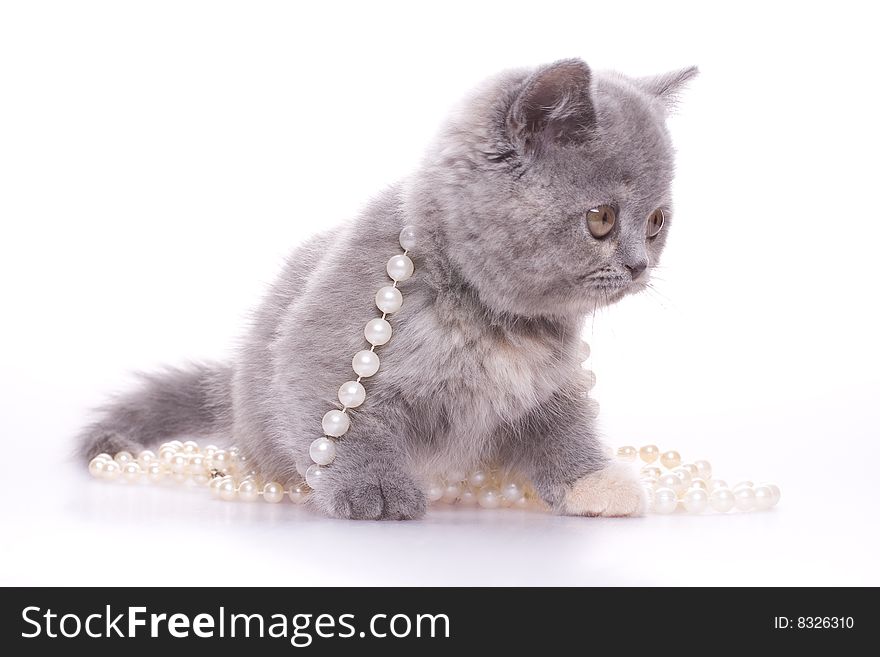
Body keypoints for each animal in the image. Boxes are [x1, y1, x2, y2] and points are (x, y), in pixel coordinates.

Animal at [77, 57, 696, 516]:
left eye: (656, 222)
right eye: (601, 220)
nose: (640, 266)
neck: (487, 315)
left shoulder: (548, 383)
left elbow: (564, 426)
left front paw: (594, 481)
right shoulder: (322, 339)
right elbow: (341, 419)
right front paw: (369, 487)